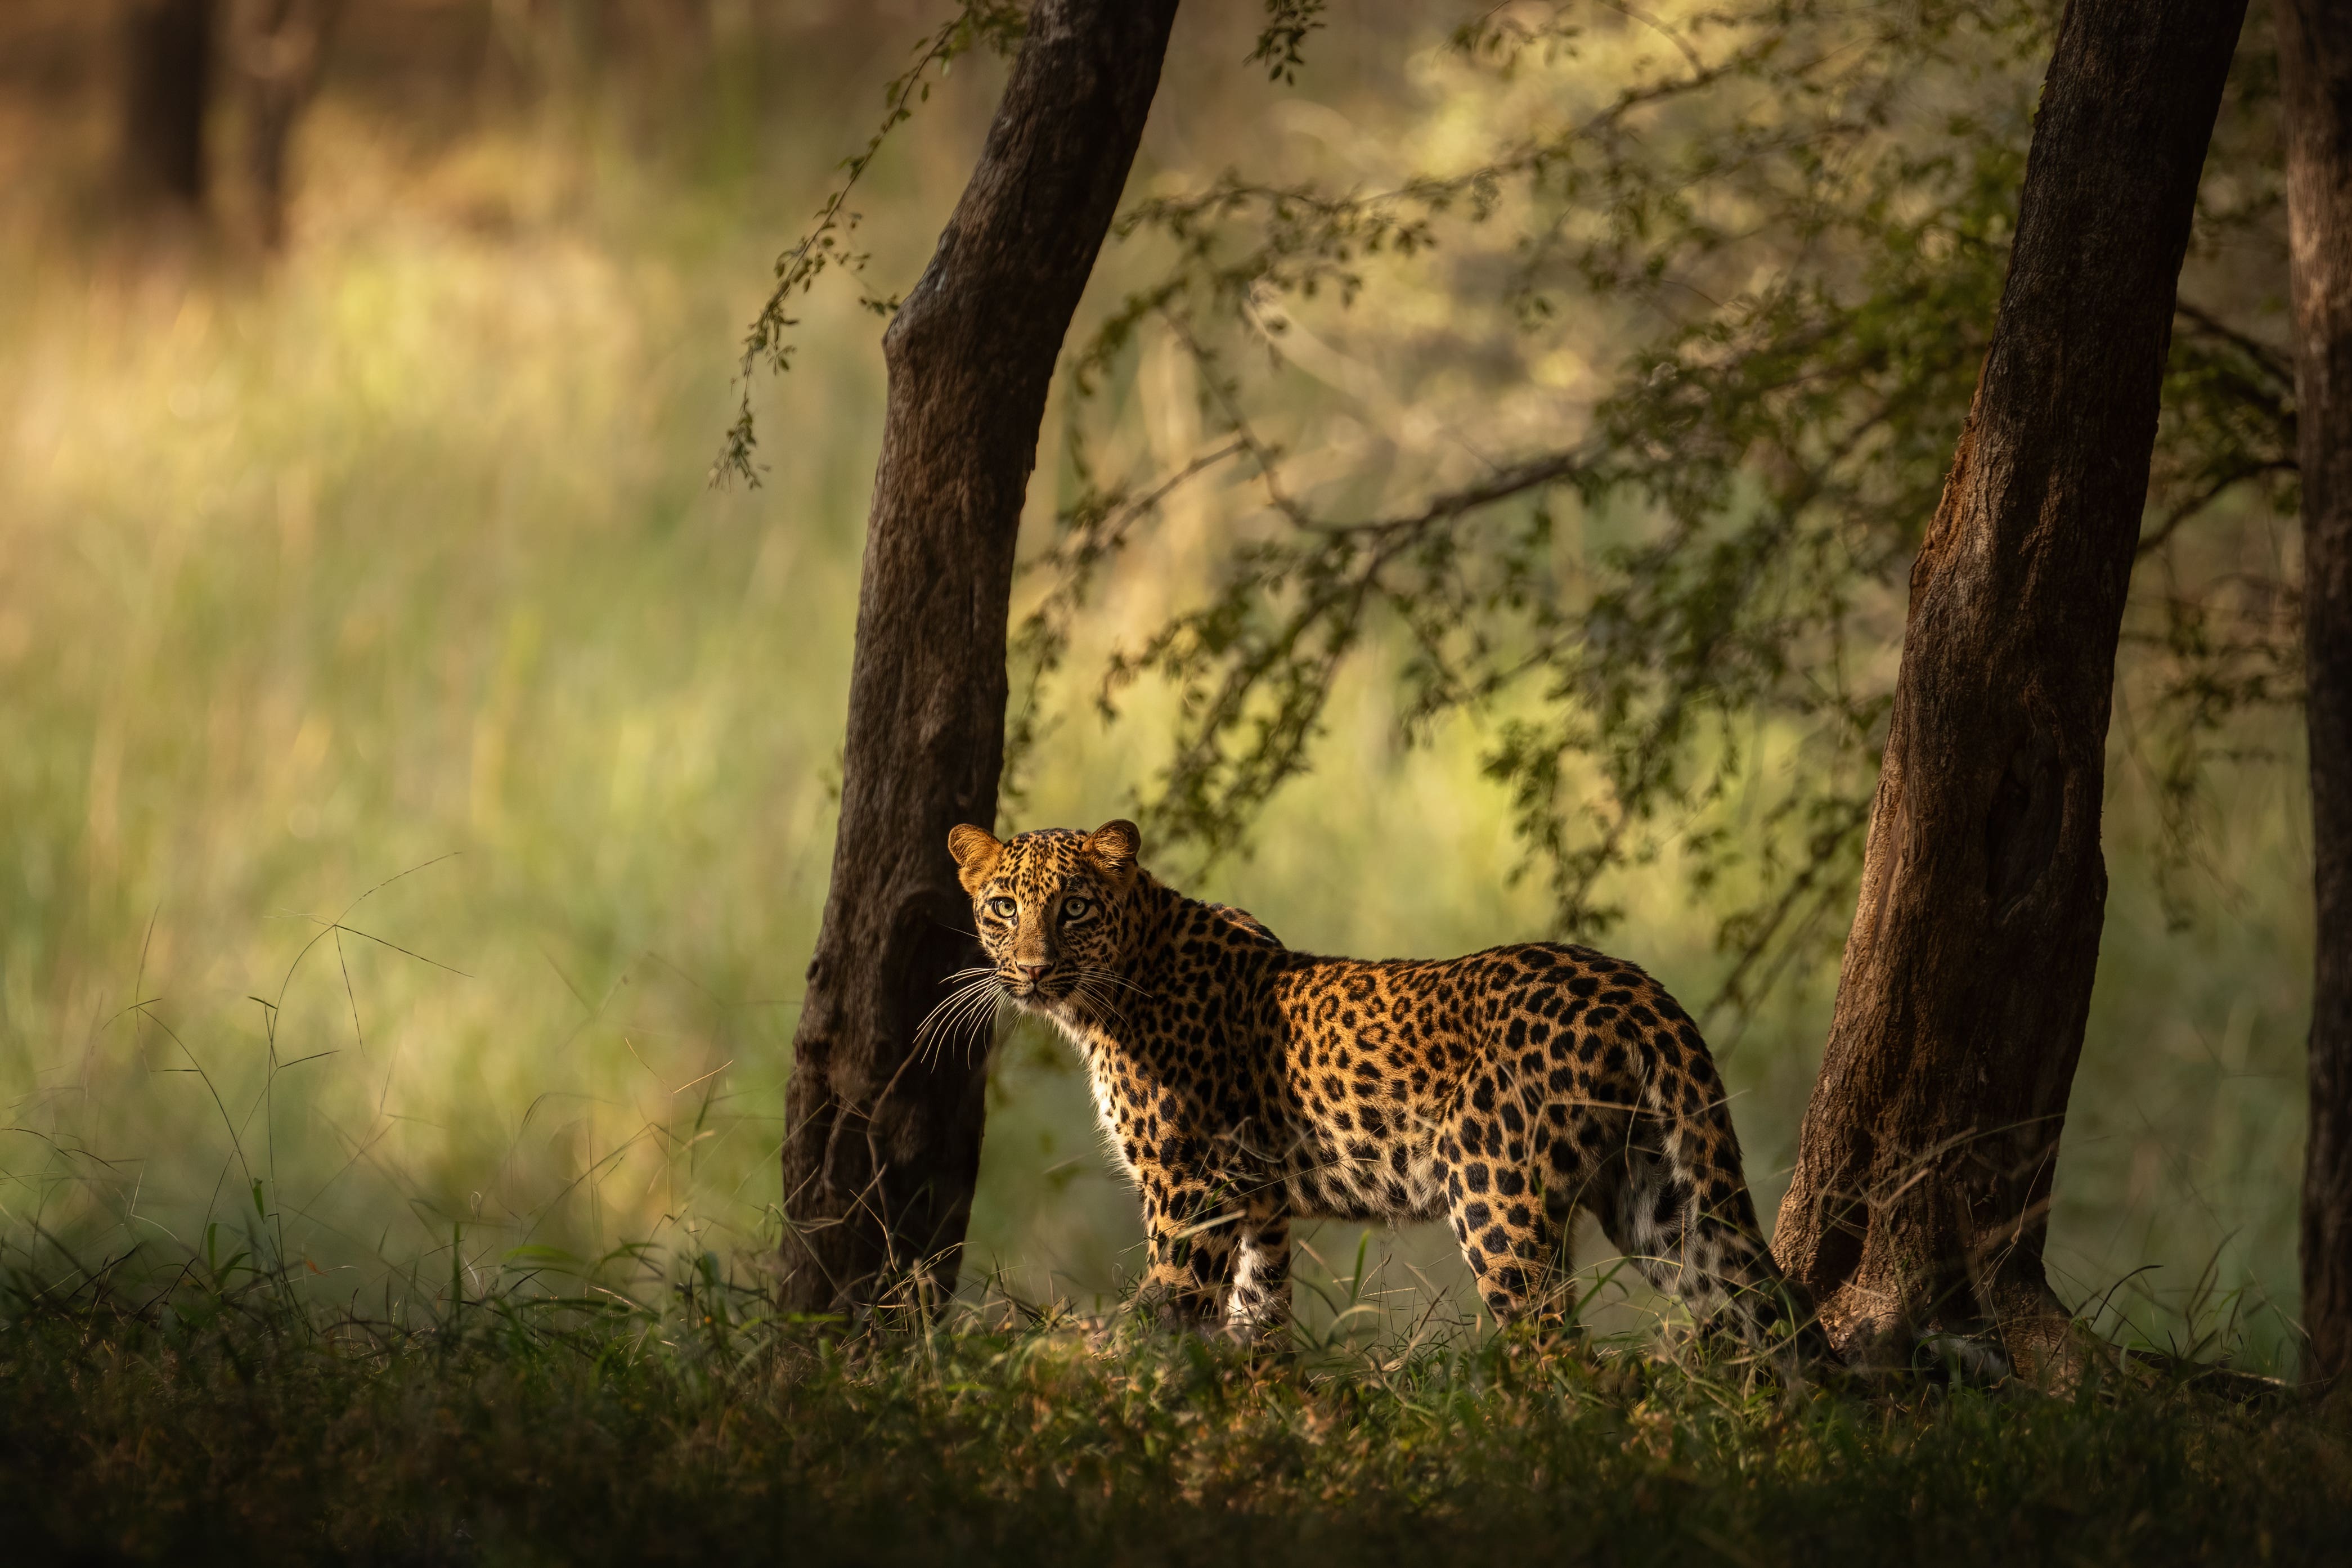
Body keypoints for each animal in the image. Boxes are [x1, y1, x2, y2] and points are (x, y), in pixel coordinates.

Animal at [945, 808, 1825, 1363]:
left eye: (1075, 908)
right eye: (1002, 907)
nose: (1030, 969)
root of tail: (1633, 986)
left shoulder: (1193, 1186)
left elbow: (1170, 1303)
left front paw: (1111, 1375)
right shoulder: (1260, 1201)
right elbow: (1257, 1316)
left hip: (1497, 1200)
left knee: (1561, 1352)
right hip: (1663, 1201)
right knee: (1772, 1312)